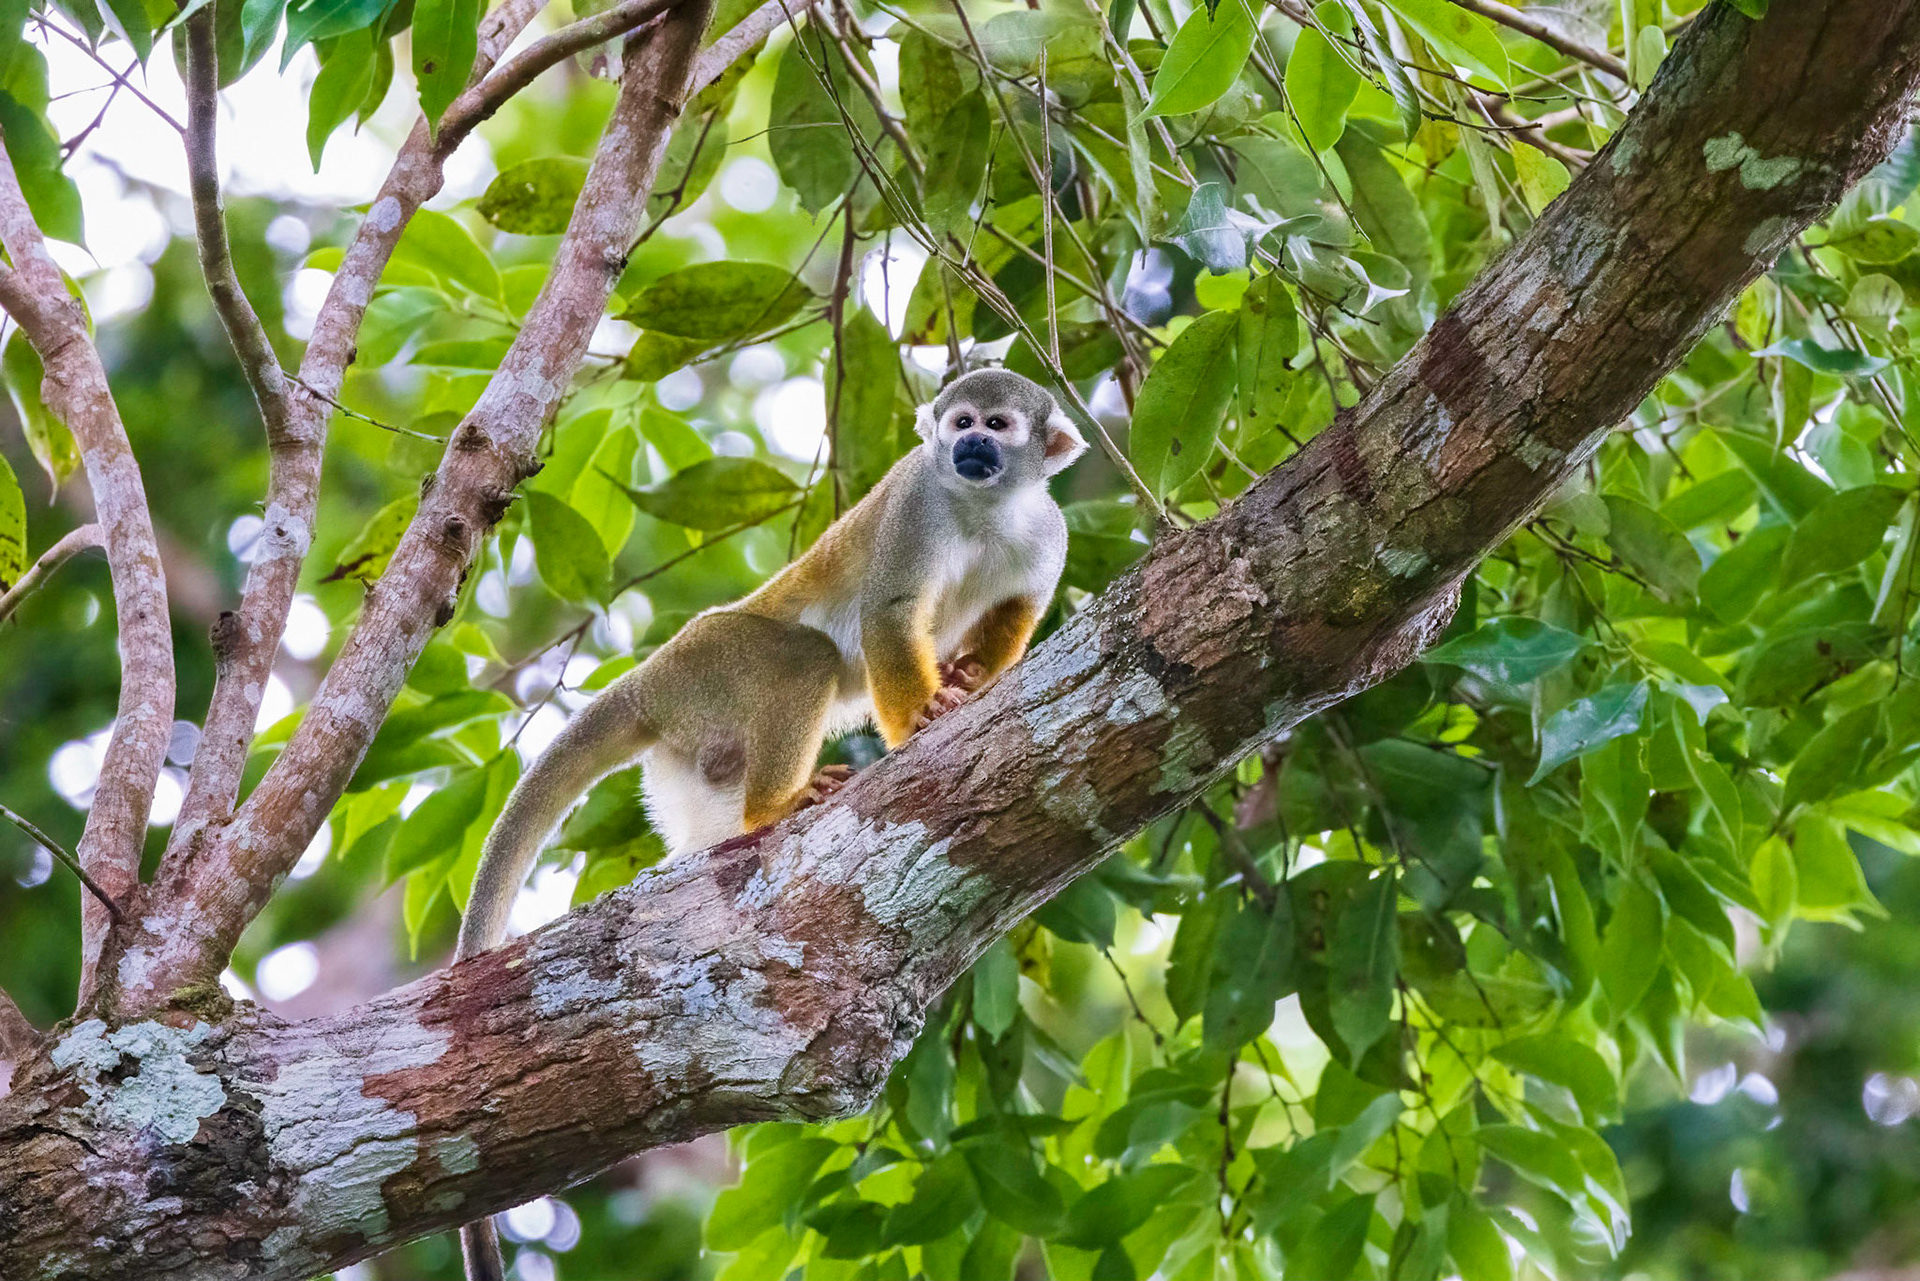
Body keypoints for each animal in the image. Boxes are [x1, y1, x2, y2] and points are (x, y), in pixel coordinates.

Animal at [453, 368, 1087, 1281]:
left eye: (998, 426)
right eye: (961, 422)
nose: (968, 445)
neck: (985, 507)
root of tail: (648, 682)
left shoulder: (1049, 533)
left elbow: (1014, 613)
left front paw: (973, 677)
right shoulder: (914, 501)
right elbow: (890, 612)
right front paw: (921, 717)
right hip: (711, 666)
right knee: (804, 656)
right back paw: (774, 806)